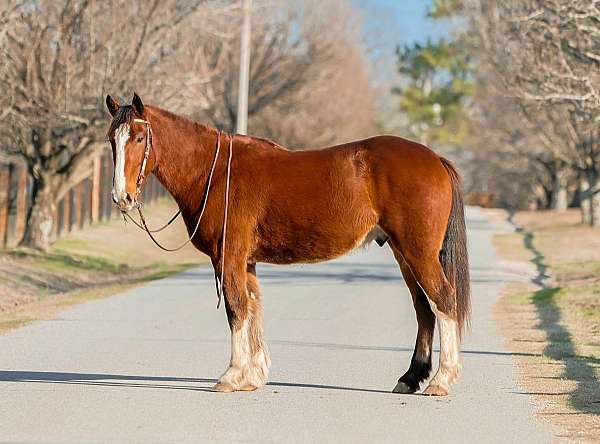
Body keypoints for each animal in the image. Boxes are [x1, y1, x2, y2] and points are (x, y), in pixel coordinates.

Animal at [109, 93, 474, 396]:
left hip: (418, 253)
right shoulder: (246, 261)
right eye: (112, 140)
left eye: (139, 138)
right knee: (424, 310)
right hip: (403, 254)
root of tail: (435, 159)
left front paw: (232, 375)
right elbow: (253, 307)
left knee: (443, 301)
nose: (121, 197)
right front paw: (253, 376)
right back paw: (410, 379)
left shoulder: (229, 257)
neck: (217, 173)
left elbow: (236, 309)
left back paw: (441, 380)